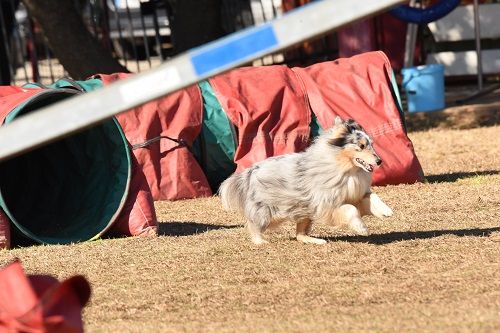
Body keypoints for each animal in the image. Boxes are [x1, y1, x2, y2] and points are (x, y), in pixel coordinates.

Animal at [220, 116, 394, 244]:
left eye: (371, 144)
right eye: (361, 146)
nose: (379, 161)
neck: (347, 168)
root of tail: (250, 171)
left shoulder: (354, 193)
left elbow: (371, 197)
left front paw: (386, 211)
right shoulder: (327, 204)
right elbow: (351, 209)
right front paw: (362, 228)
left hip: (304, 211)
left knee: (300, 235)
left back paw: (316, 241)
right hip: (268, 212)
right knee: (252, 224)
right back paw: (260, 241)